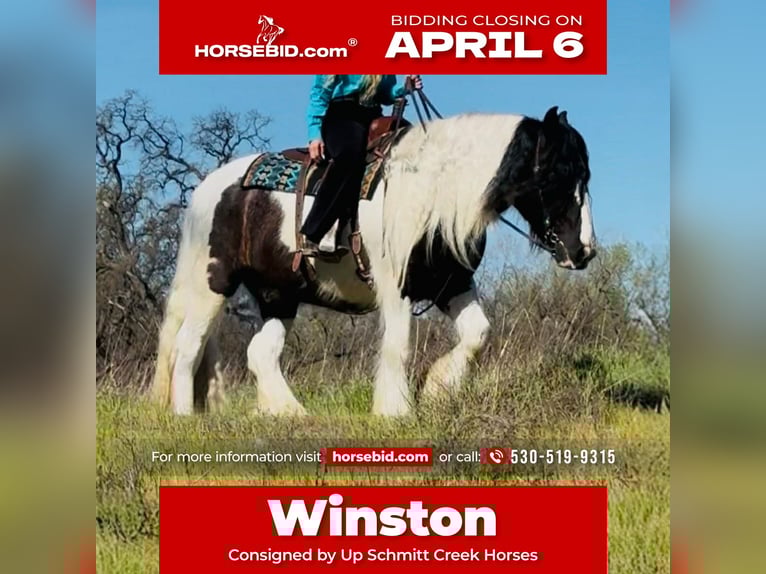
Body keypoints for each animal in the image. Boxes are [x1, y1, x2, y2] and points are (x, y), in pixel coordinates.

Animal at [150, 106, 597, 417]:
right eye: (558, 173)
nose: (584, 251)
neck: (431, 190)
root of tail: (209, 187)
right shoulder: (395, 287)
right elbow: (399, 347)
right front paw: (395, 410)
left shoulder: (451, 284)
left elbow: (477, 334)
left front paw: (436, 390)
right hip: (213, 281)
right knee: (187, 346)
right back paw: (185, 417)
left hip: (279, 295)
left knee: (260, 352)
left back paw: (290, 413)